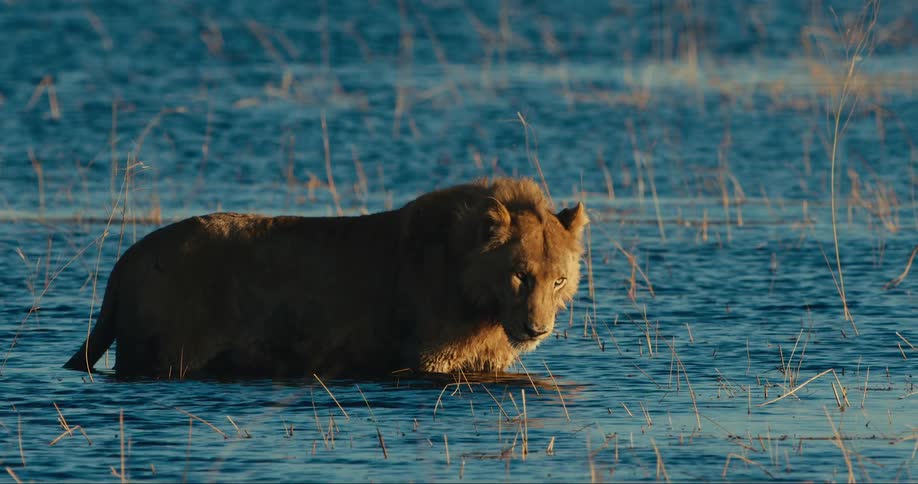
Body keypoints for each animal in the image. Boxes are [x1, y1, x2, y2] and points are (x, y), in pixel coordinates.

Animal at [63, 177, 589, 378]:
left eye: (558, 281)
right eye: (521, 275)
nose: (537, 329)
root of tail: (128, 257)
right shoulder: (425, 358)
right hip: (161, 355)